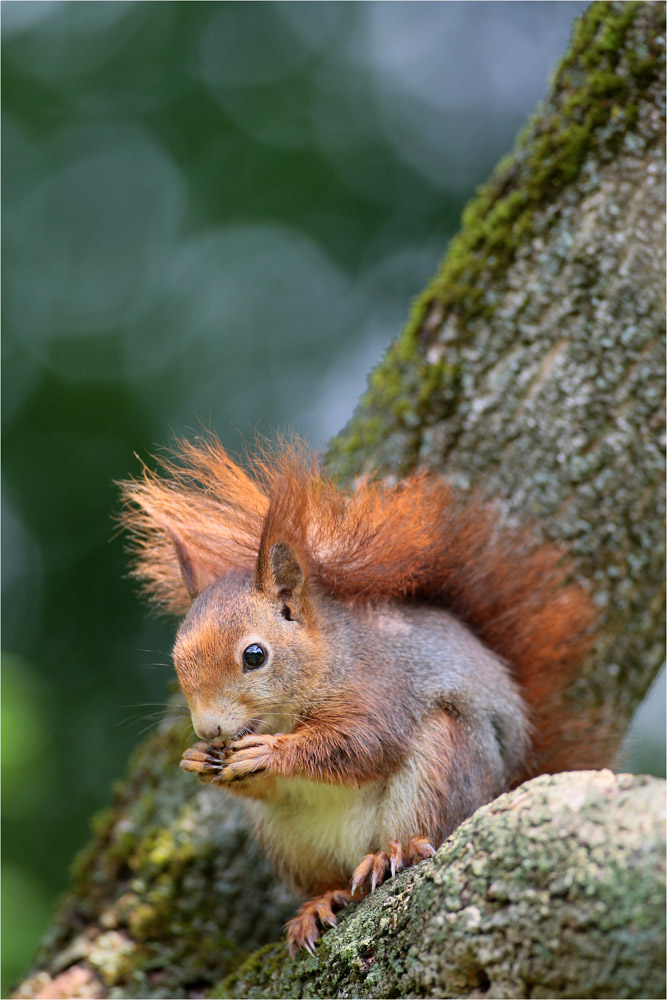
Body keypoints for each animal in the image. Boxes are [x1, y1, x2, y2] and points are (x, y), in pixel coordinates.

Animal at [120, 438, 612, 952]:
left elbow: (361, 745)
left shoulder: (381, 689)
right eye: (177, 659)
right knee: (333, 882)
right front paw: (197, 759)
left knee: (428, 830)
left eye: (254, 655)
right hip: (290, 842)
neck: (325, 663)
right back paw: (319, 903)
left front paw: (271, 752)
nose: (209, 728)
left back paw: (394, 854)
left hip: (446, 762)